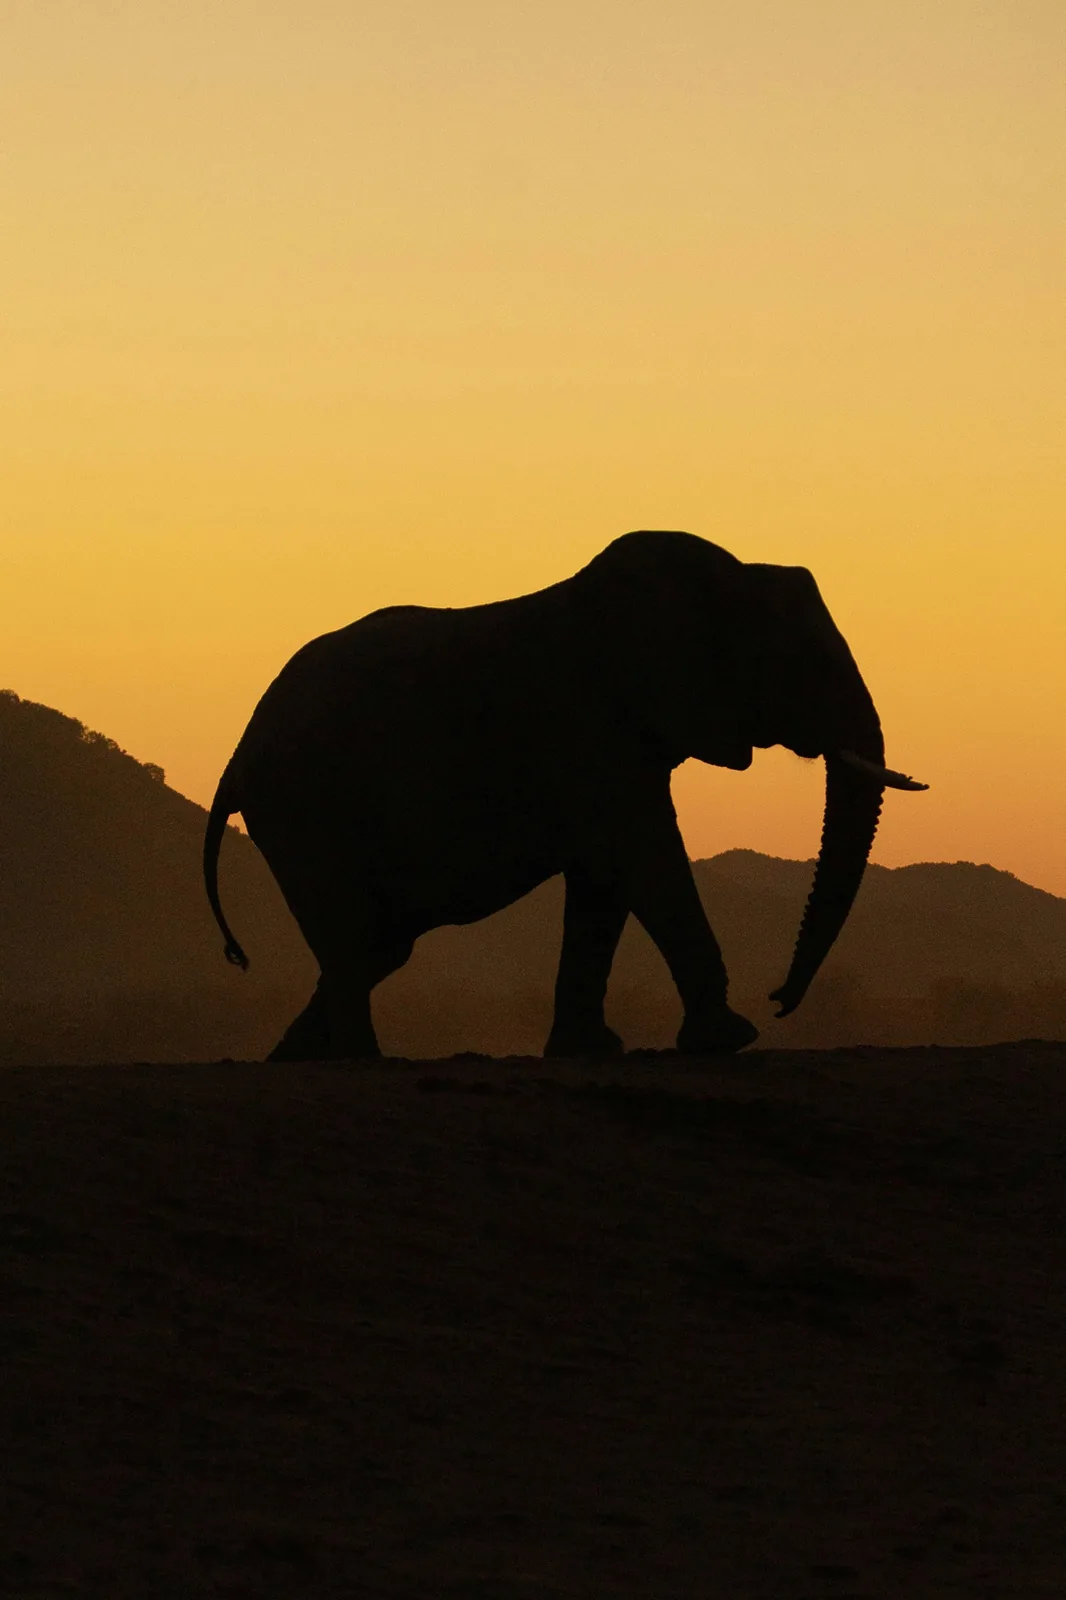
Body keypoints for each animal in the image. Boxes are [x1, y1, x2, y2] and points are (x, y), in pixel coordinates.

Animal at [204, 530, 926, 1061]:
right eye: (806, 664)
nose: (779, 999)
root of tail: (235, 759)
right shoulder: (590, 730)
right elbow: (646, 858)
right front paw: (731, 1039)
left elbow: (604, 883)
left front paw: (591, 1050)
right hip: (306, 812)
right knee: (360, 942)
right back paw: (364, 1064)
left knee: (376, 945)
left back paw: (293, 1060)